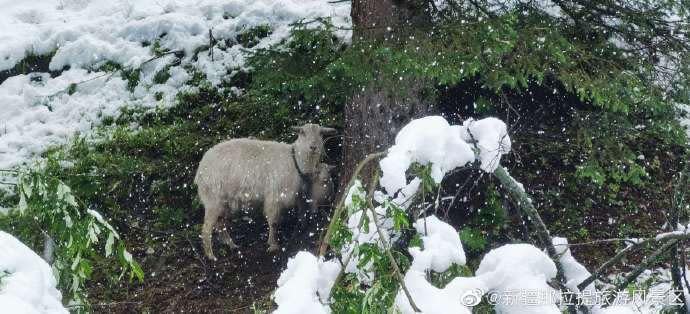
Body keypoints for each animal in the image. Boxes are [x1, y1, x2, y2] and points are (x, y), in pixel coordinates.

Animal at [194, 124, 336, 262]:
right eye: (302, 132)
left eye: (321, 133)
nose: (313, 147)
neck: (295, 161)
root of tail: (201, 169)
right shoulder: (274, 197)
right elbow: (273, 222)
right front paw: (273, 245)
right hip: (213, 199)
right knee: (206, 228)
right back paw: (211, 256)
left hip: (224, 201)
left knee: (220, 223)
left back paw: (231, 245)